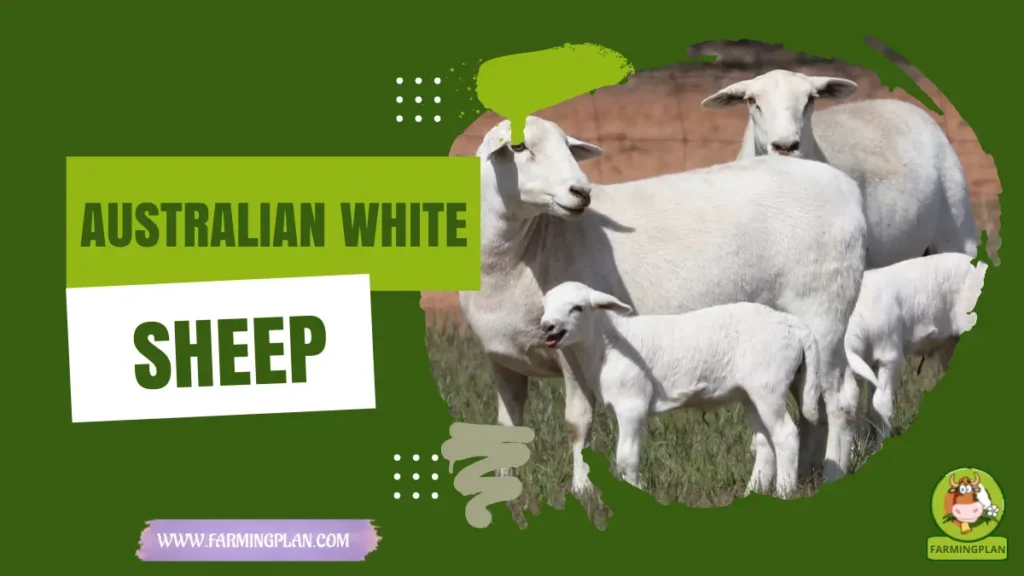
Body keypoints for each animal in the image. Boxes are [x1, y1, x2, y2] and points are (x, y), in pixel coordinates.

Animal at [539, 281, 823, 499]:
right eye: (545, 306)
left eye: (577, 308)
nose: (547, 326)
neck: (606, 344)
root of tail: (794, 325)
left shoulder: (632, 404)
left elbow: (626, 458)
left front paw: (636, 493)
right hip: (751, 393)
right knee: (764, 441)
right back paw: (751, 493)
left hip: (770, 385)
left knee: (786, 436)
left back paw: (784, 493)